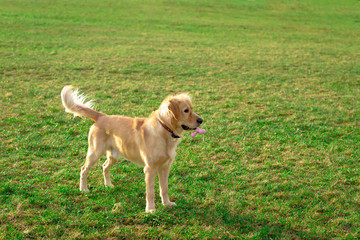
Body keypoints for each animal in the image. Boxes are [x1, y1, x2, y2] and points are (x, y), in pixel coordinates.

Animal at [60, 86, 204, 212]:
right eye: (186, 110)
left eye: (192, 109)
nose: (201, 120)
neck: (164, 129)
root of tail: (101, 116)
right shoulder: (150, 168)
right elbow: (150, 192)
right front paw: (150, 209)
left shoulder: (165, 167)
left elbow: (164, 188)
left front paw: (167, 204)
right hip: (95, 152)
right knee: (84, 169)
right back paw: (84, 189)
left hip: (114, 155)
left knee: (105, 166)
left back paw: (108, 185)